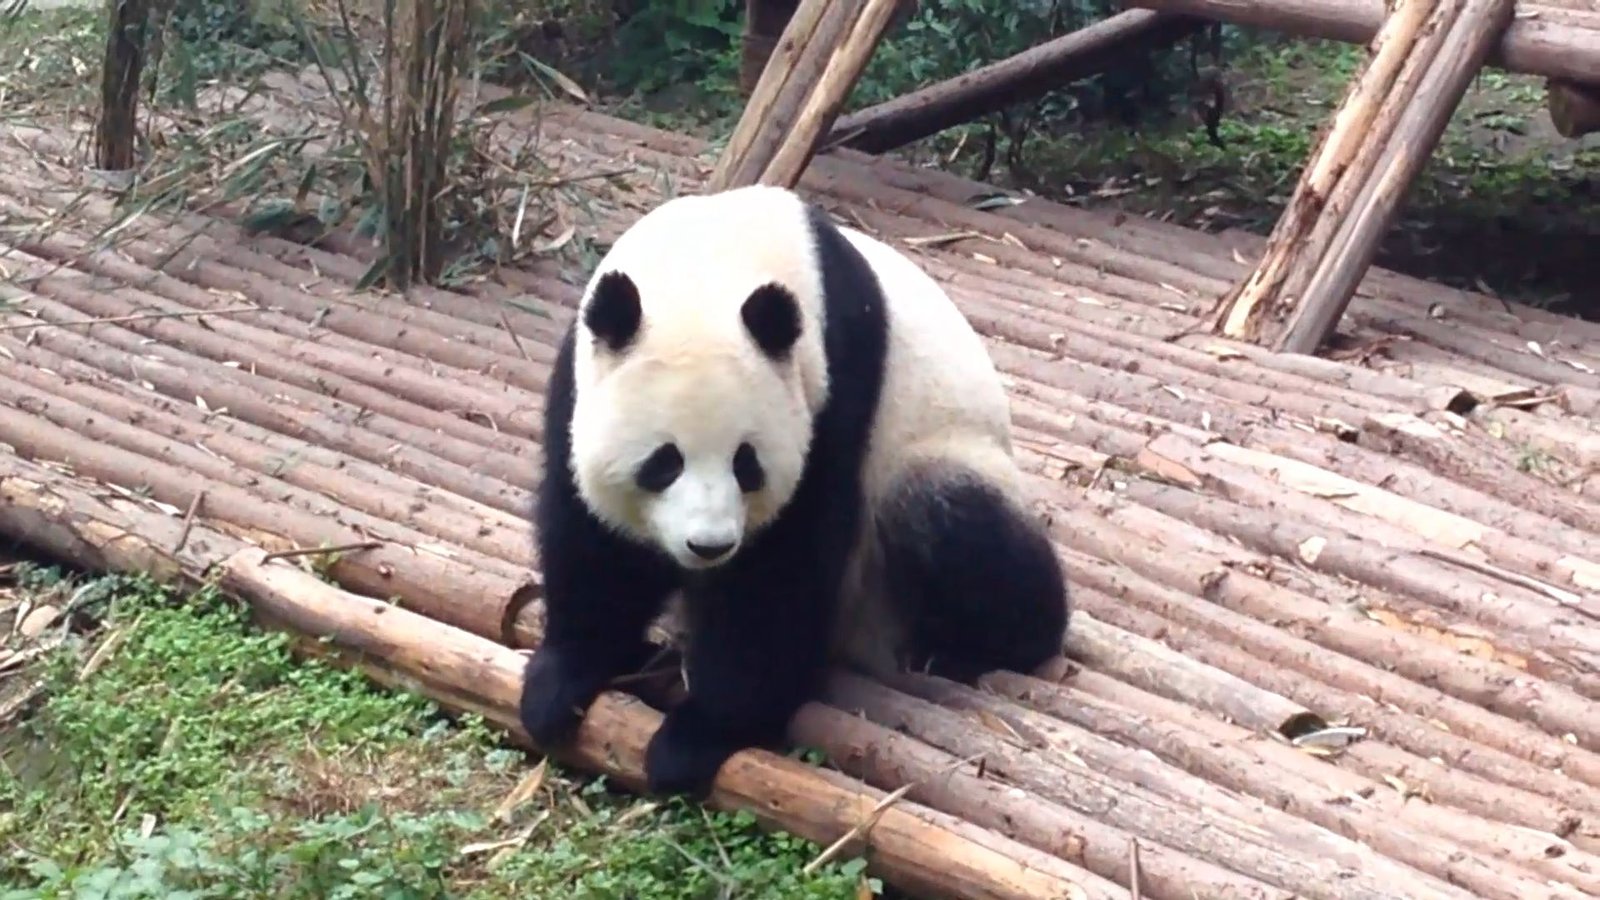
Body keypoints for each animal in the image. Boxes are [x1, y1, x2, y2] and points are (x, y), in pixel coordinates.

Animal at [519, 184, 1071, 799]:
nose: (710, 546)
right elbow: (593, 537)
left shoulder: (834, 389)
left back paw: (973, 647)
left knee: (948, 517)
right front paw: (560, 682)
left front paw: (698, 737)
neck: (710, 266)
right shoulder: (579, 379)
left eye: (746, 464)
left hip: (940, 463)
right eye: (663, 463)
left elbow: (781, 570)